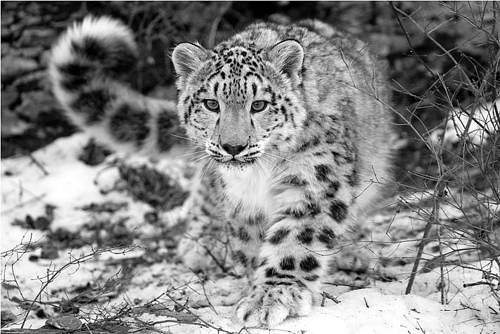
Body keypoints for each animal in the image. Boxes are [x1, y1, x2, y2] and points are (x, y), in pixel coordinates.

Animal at [49, 16, 394, 326]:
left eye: (259, 104)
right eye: (211, 104)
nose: (233, 146)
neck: (260, 175)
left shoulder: (313, 182)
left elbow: (294, 240)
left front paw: (272, 296)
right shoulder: (242, 201)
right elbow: (250, 245)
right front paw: (254, 289)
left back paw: (353, 251)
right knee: (204, 189)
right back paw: (202, 243)